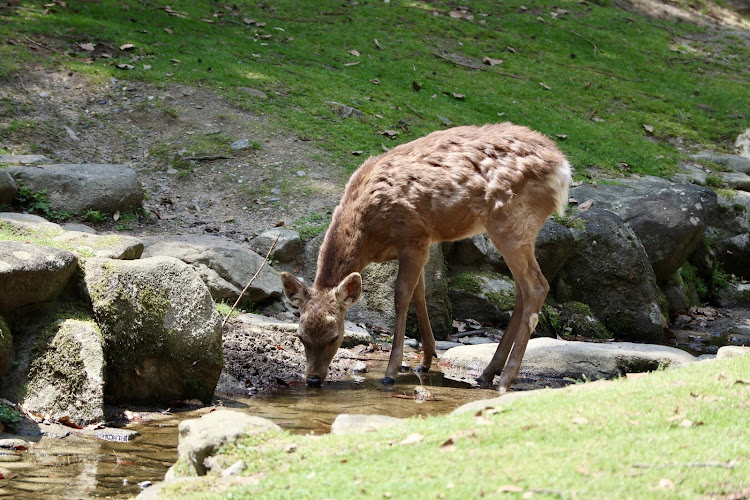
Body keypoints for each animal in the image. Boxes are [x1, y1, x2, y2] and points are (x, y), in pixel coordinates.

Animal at [284, 122, 572, 390]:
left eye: (335, 336)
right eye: (300, 336)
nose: (313, 379)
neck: (369, 232)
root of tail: (563, 169)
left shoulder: (414, 237)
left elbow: (401, 297)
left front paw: (391, 371)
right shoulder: (421, 244)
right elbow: (419, 294)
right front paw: (426, 360)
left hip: (512, 222)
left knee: (536, 286)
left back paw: (506, 380)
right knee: (521, 291)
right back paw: (488, 373)